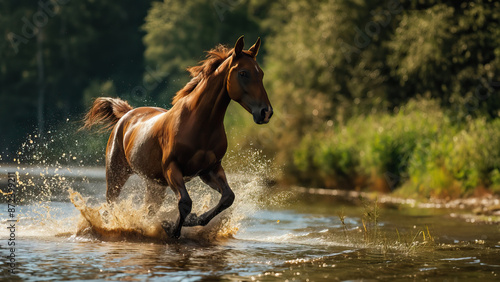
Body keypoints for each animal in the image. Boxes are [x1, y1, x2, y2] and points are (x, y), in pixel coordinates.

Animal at [84, 37, 276, 238]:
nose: (266, 112)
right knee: (111, 204)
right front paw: (171, 228)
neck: (199, 124)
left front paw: (195, 220)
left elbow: (227, 197)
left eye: (261, 73)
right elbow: (185, 202)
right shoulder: (172, 168)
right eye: (243, 73)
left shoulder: (210, 170)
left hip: (155, 184)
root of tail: (126, 114)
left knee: (148, 209)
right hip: (117, 173)